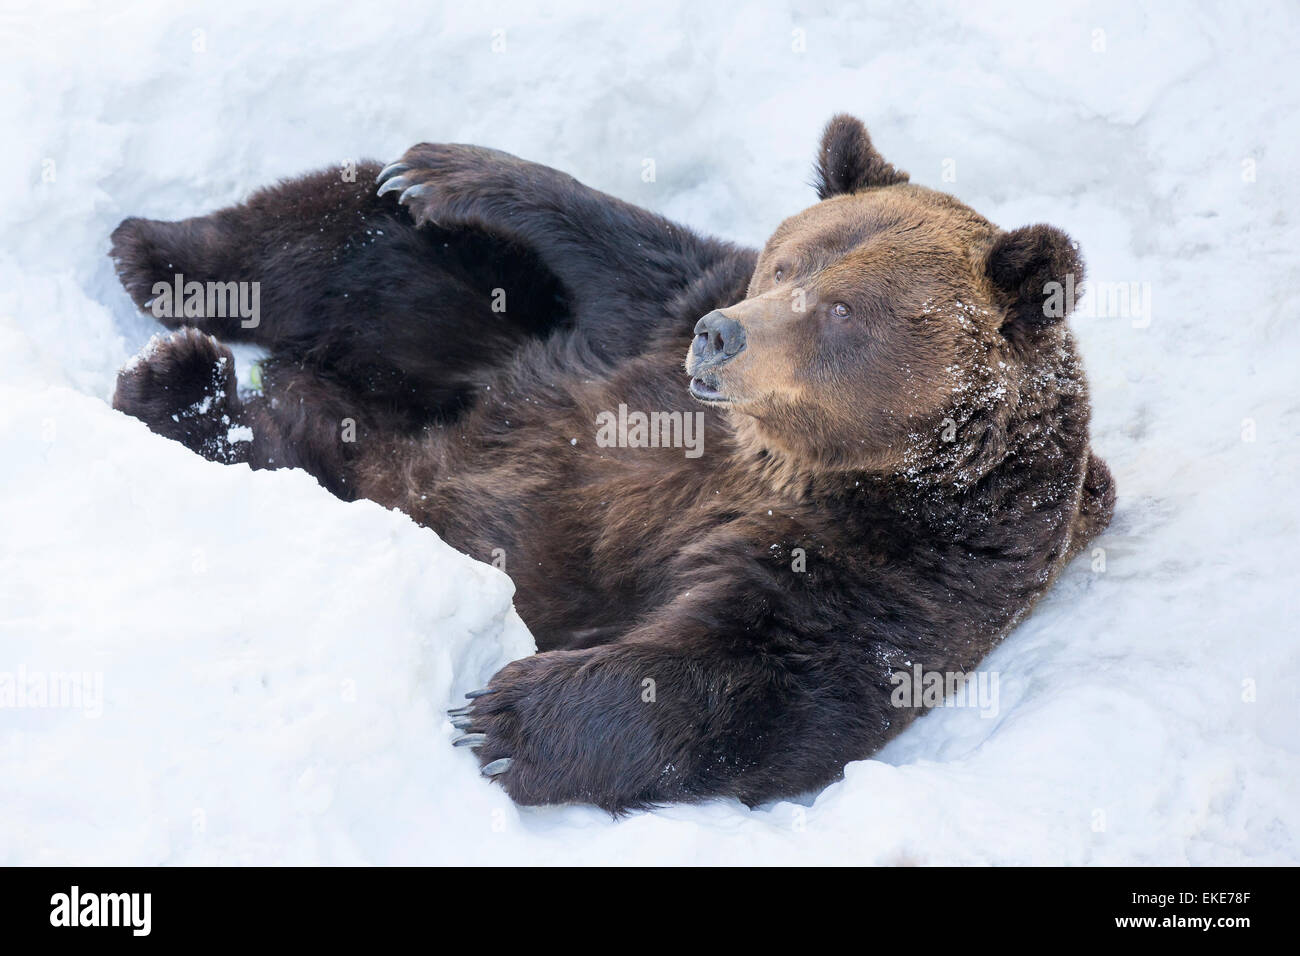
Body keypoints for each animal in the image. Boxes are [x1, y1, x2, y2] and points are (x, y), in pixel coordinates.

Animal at [106, 115, 1112, 811]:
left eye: (845, 312)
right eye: (788, 263)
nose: (722, 338)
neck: (791, 460)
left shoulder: (903, 570)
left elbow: (763, 680)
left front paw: (506, 720)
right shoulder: (649, 326)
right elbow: (618, 247)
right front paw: (442, 168)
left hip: (380, 468)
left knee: (307, 440)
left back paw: (187, 390)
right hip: (466, 322)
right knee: (353, 238)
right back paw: (163, 265)